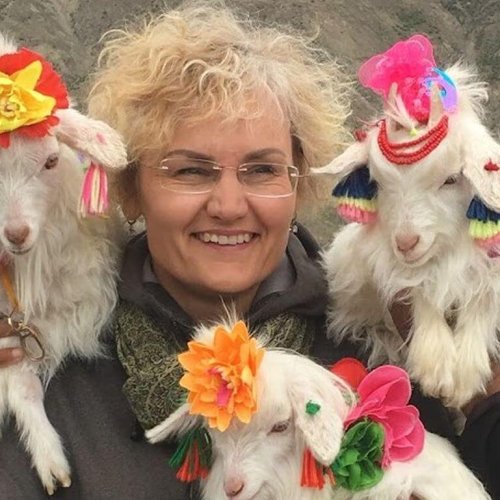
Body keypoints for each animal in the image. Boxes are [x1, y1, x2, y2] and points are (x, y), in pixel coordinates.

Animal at [315, 46, 500, 409]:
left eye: (452, 179)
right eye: (376, 181)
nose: (406, 242)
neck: (449, 251)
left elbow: (483, 297)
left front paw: (465, 377)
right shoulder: (379, 260)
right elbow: (418, 284)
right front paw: (436, 368)